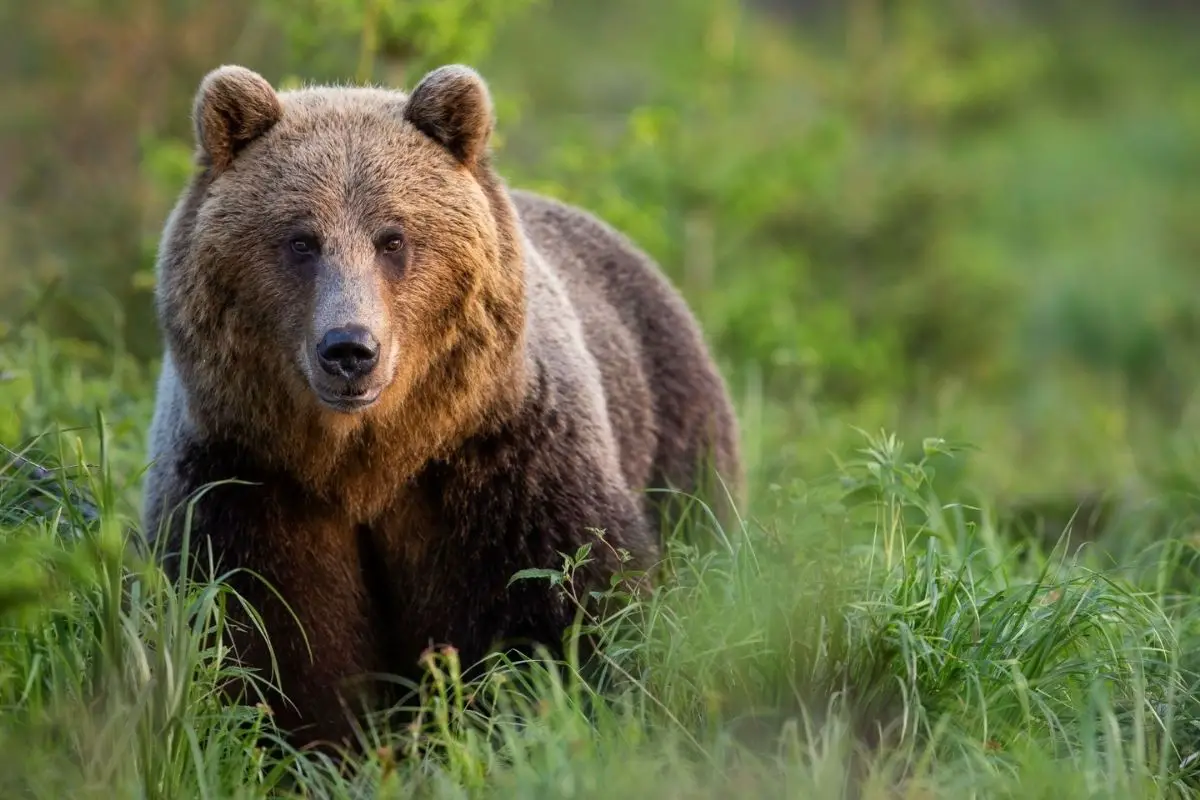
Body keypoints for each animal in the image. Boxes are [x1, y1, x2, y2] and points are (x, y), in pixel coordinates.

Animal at [140, 62, 739, 753]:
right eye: (301, 241)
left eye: (393, 238)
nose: (349, 349)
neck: (369, 460)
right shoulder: (245, 477)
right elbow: (264, 636)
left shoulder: (502, 460)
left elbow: (569, 602)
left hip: (676, 421)